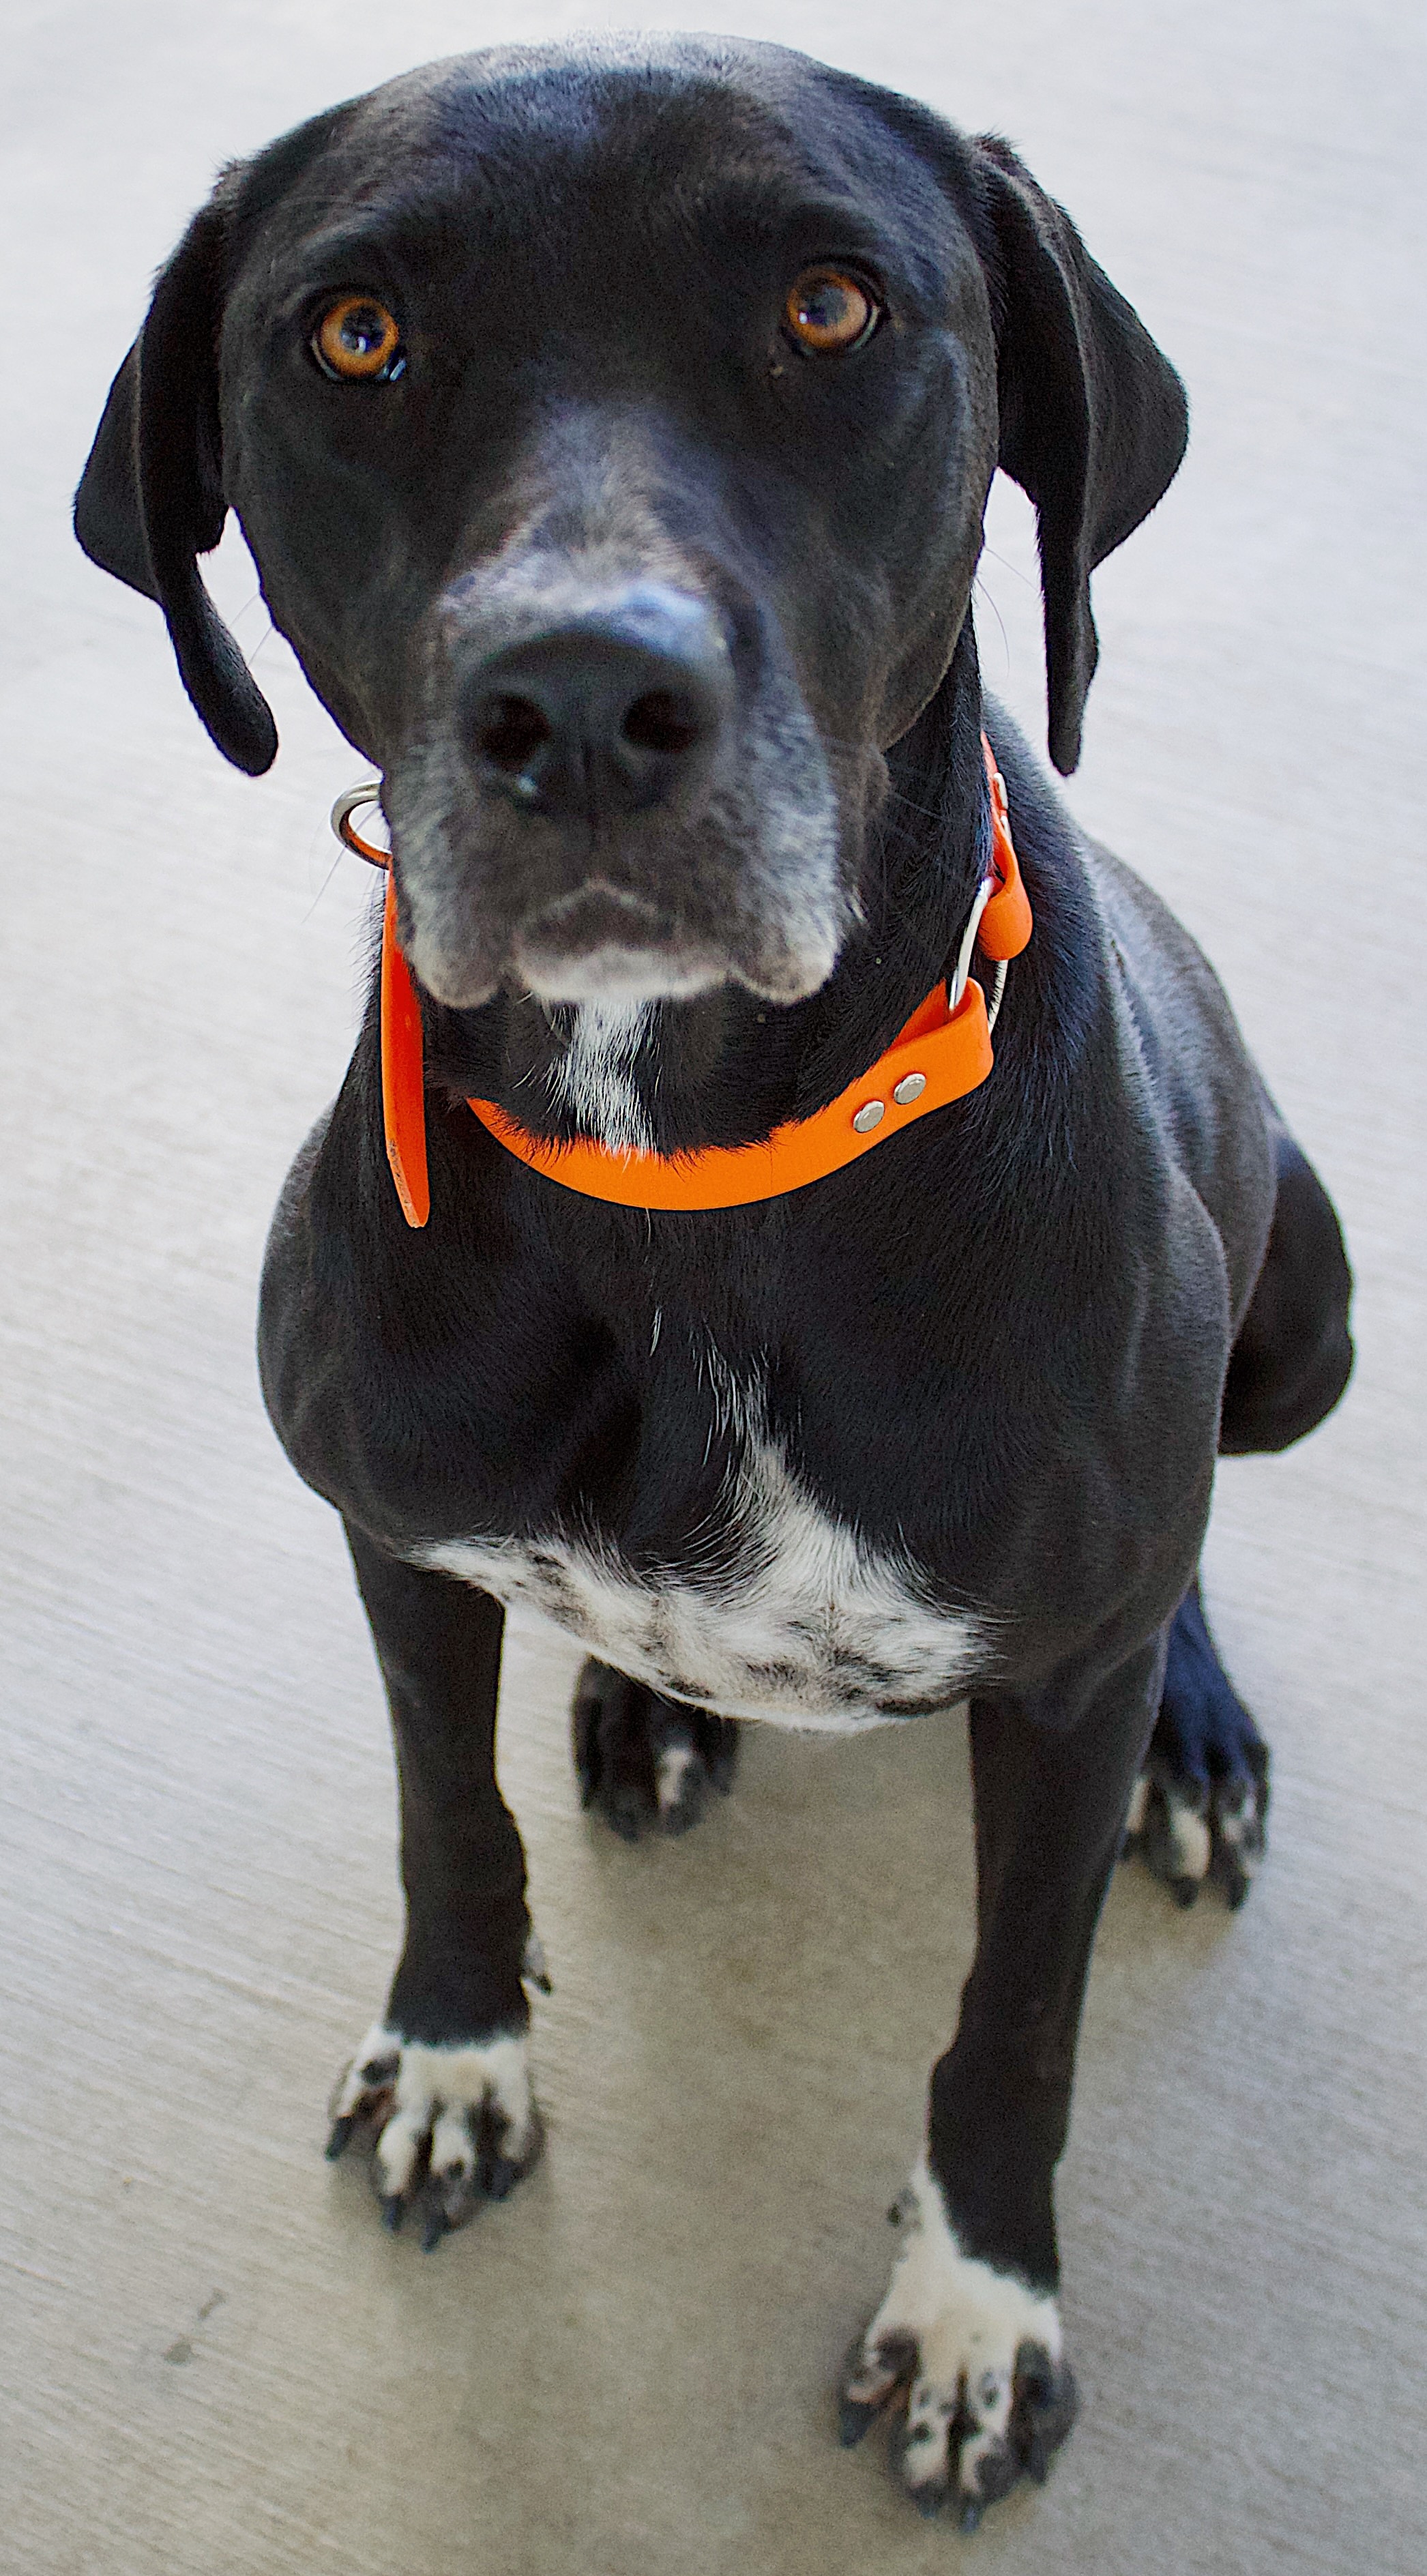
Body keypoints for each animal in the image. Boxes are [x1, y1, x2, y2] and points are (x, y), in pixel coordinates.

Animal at [72, 35, 1349, 2534]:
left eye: (833, 306)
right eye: (352, 334)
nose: (577, 704)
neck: (681, 1158)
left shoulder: (1051, 1681)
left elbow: (1011, 2017)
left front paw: (974, 2311)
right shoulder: (396, 1530)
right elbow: (444, 1821)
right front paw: (455, 2052)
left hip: (1307, 1315)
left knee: (1186, 1545)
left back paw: (1194, 1732)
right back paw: (647, 1706)